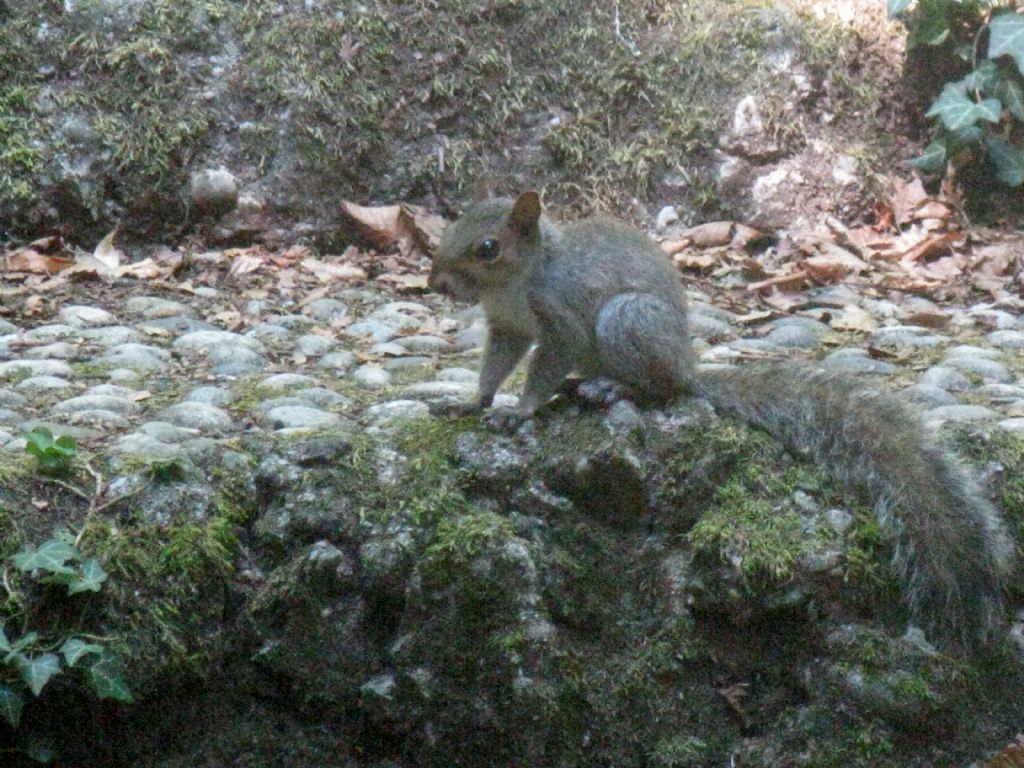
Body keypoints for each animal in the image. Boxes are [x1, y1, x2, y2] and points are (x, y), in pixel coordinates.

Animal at [425, 191, 1015, 651]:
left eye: (487, 248)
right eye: (451, 228)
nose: (434, 283)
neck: (517, 281)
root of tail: (690, 368)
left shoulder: (561, 316)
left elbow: (548, 362)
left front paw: (521, 410)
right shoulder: (505, 327)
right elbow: (495, 364)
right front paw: (473, 402)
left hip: (627, 321)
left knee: (664, 390)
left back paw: (614, 387)